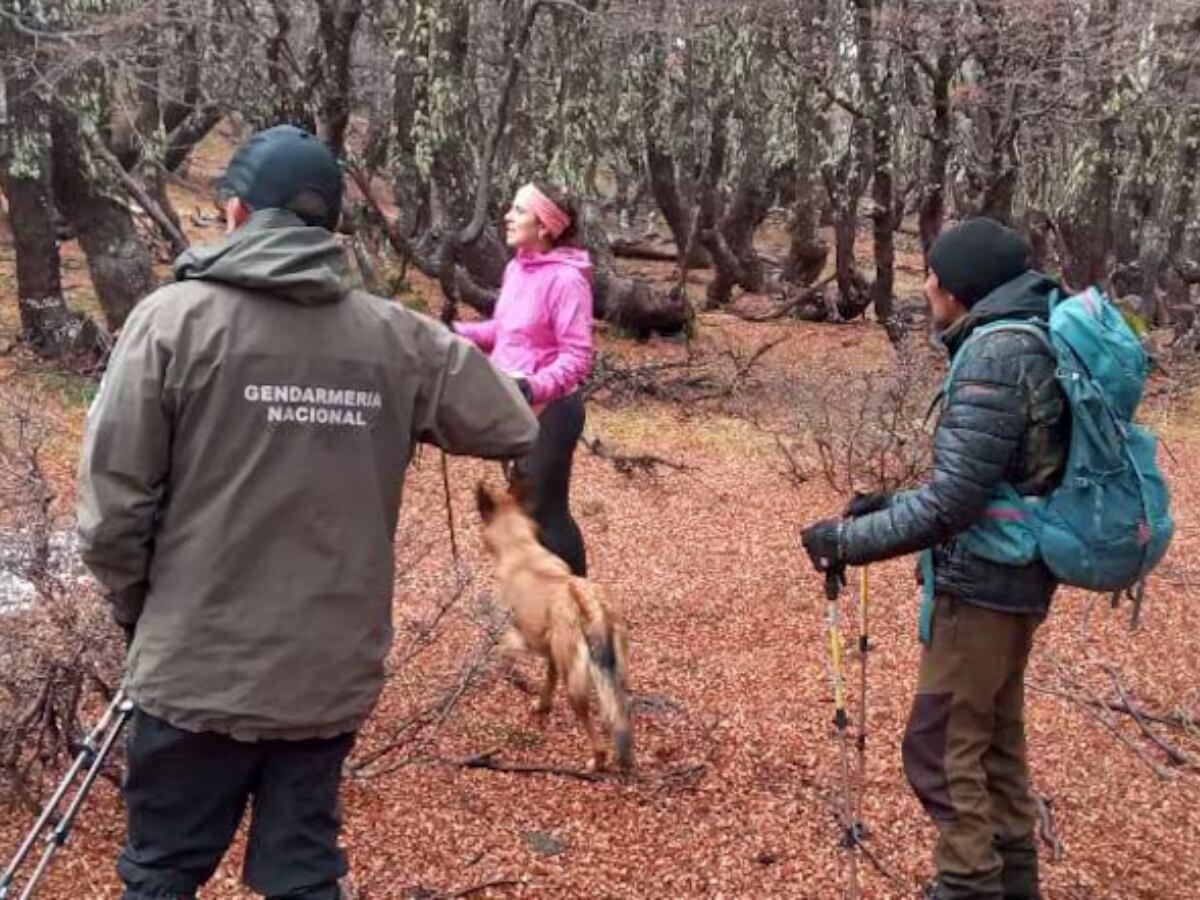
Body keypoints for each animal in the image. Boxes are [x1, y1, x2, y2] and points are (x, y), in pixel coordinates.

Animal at [474, 479, 633, 771]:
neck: (520, 549)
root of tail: (587, 604)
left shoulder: (522, 637)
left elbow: (501, 651)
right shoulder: (551, 653)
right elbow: (548, 681)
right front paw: (542, 705)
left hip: (575, 686)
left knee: (595, 733)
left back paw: (597, 760)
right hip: (615, 671)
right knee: (618, 711)